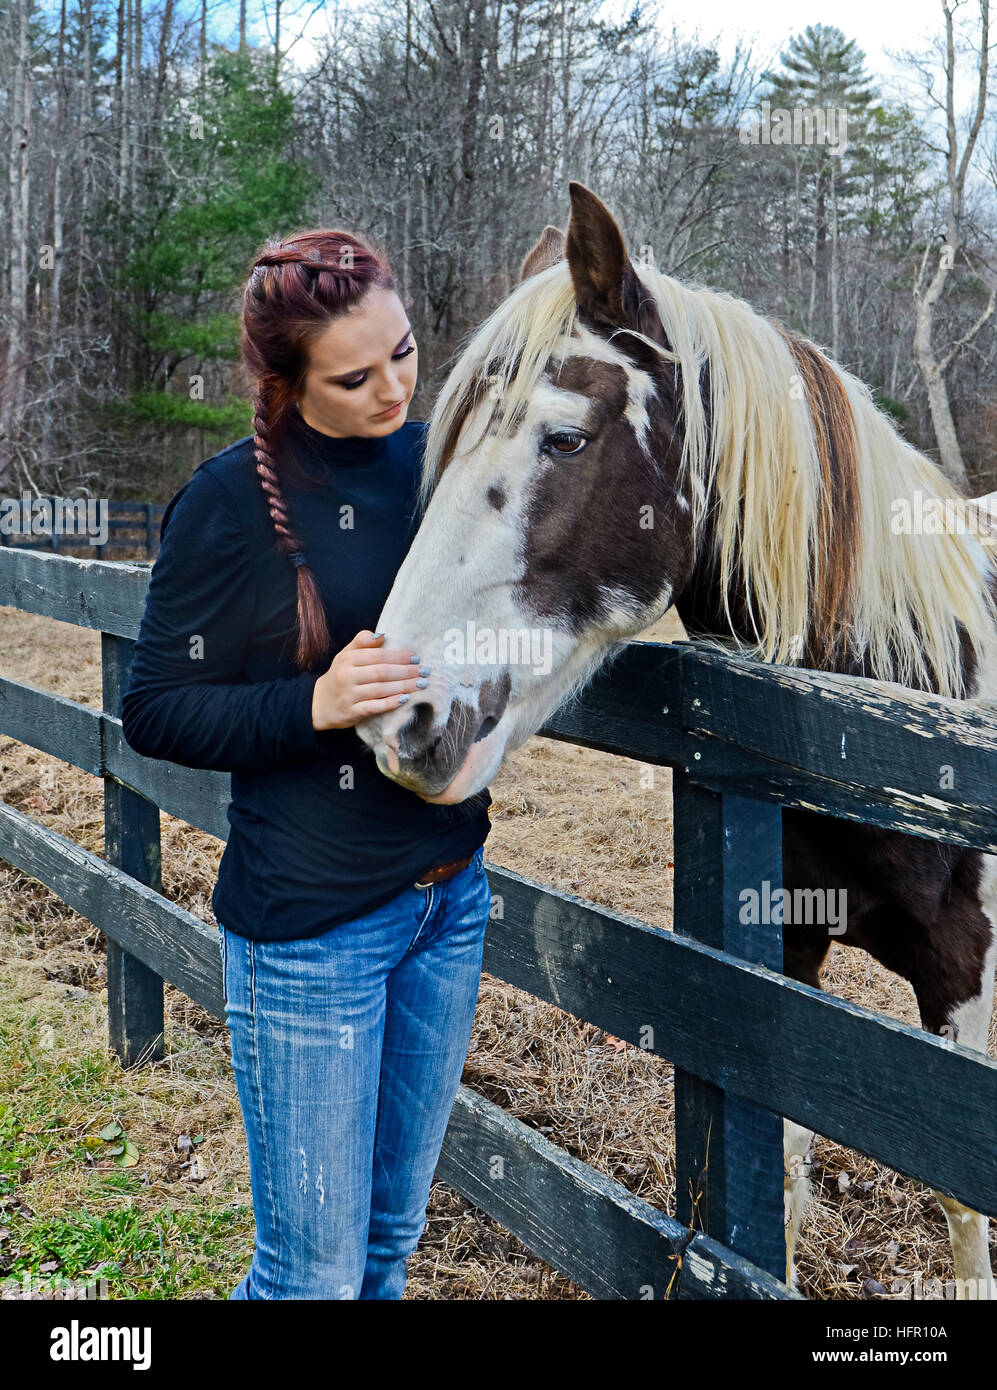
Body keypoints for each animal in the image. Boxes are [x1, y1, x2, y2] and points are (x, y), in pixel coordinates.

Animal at [355, 179, 995, 1295]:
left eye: (566, 439)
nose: (401, 721)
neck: (904, 730)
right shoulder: (785, 947)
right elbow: (782, 1159)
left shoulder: (963, 971)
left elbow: (961, 1193)